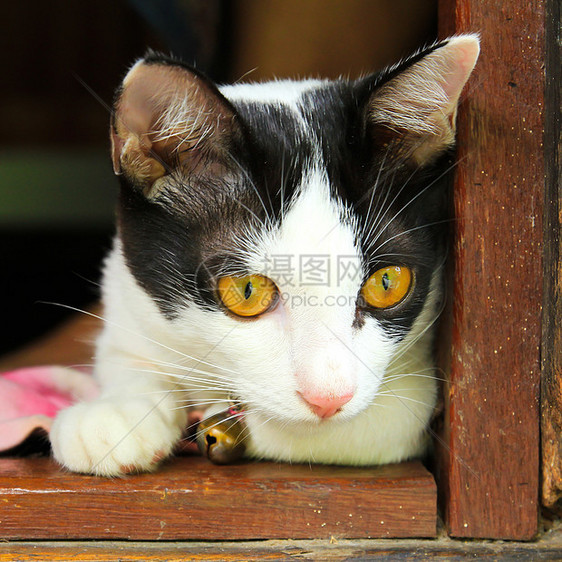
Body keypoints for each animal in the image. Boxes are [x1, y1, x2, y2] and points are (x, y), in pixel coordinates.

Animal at [50, 34, 476, 472]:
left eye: (387, 283)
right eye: (247, 291)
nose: (328, 398)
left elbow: (365, 426)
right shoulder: (126, 292)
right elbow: (124, 354)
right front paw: (117, 411)